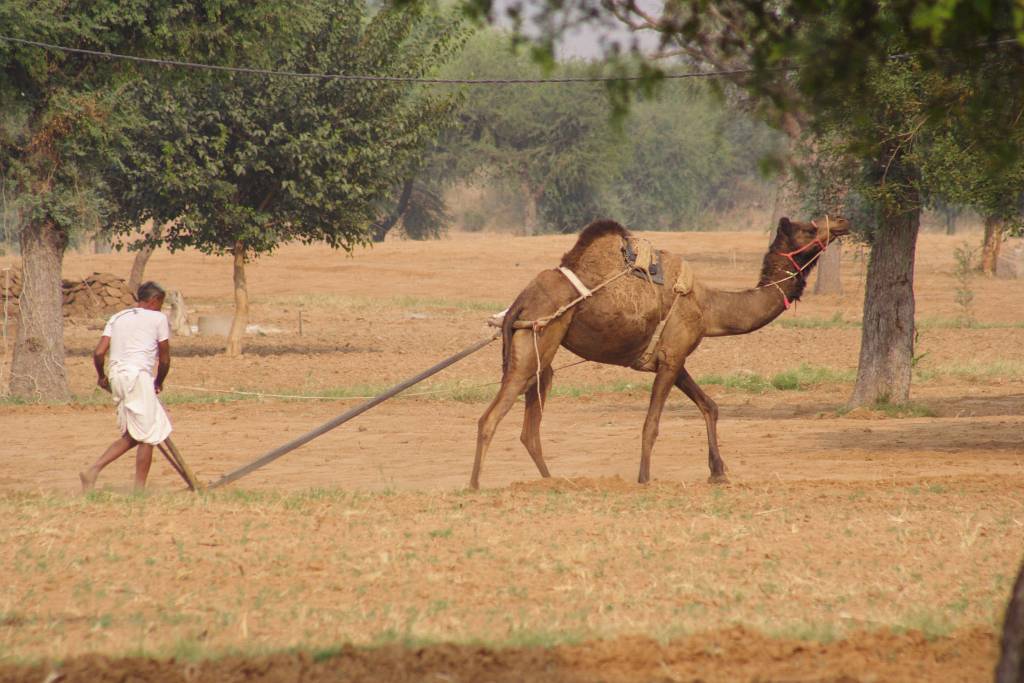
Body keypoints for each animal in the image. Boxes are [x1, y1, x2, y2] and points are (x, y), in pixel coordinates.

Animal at [471, 216, 847, 489]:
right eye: (809, 228)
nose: (842, 222)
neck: (709, 308)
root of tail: (520, 302)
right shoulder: (672, 358)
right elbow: (651, 424)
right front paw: (644, 479)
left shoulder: (672, 358)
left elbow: (710, 406)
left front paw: (718, 472)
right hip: (539, 336)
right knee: (491, 417)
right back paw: (475, 486)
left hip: (539, 354)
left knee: (529, 428)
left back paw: (551, 482)